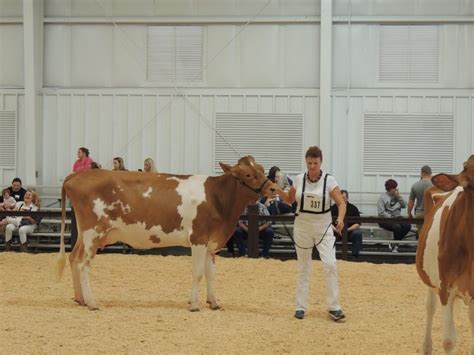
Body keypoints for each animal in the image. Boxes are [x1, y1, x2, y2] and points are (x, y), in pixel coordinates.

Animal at [56, 156, 278, 312]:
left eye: (261, 169)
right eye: (248, 175)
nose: (273, 188)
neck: (217, 197)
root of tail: (76, 176)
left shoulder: (211, 243)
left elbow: (211, 274)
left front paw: (214, 302)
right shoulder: (198, 239)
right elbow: (198, 273)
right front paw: (194, 305)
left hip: (83, 234)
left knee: (73, 258)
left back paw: (80, 299)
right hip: (92, 233)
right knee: (83, 264)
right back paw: (92, 302)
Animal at [416, 156, 472, 355]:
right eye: (470, 186)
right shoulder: (446, 288)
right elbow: (448, 341)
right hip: (432, 281)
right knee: (429, 308)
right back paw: (426, 347)